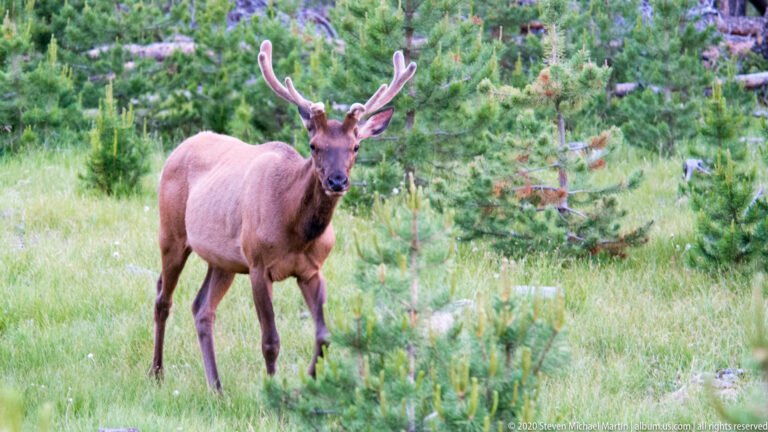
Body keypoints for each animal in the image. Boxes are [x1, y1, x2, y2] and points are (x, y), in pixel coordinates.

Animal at [148, 40, 417, 392]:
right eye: (314, 145)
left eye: (356, 146)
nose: (337, 181)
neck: (297, 231)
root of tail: (178, 148)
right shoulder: (259, 265)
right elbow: (270, 340)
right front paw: (274, 390)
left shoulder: (312, 270)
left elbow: (324, 335)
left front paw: (310, 383)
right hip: (172, 234)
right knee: (162, 298)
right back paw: (157, 372)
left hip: (223, 260)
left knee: (202, 308)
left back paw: (216, 386)